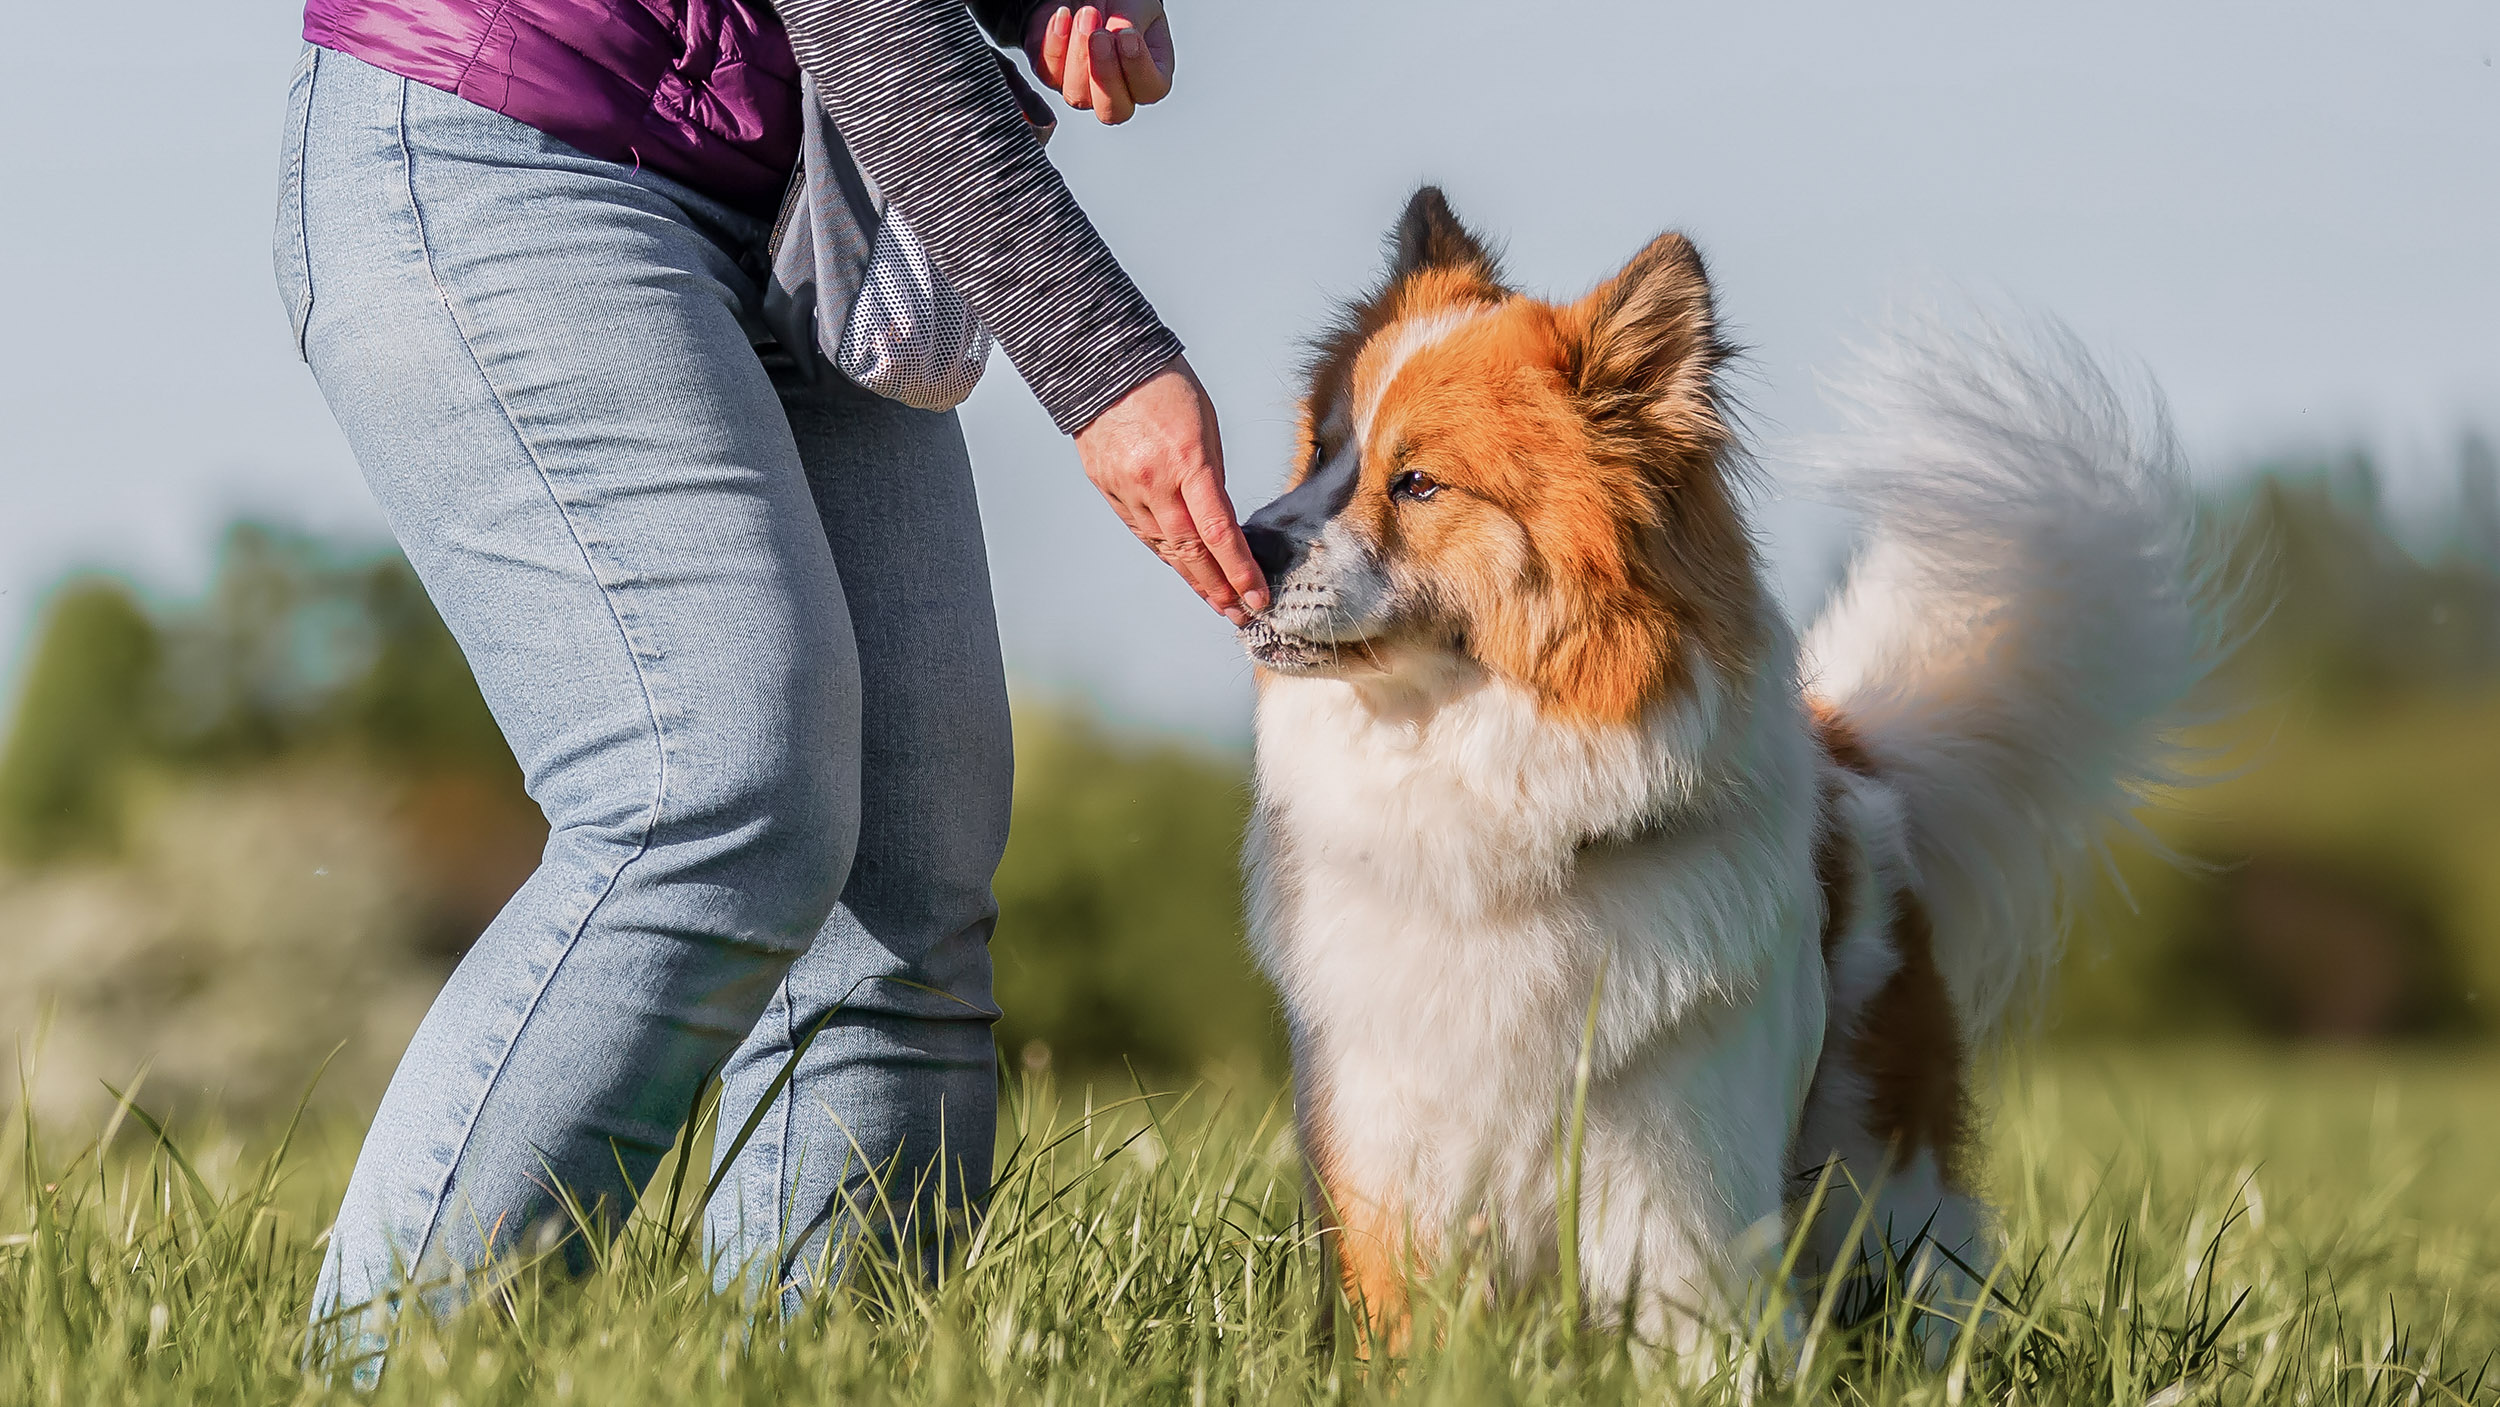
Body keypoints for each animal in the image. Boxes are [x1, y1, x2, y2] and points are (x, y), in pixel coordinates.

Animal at [1230, 187, 2210, 1349]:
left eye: (1417, 483)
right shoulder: (1393, 1180)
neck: (1486, 809)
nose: (1243, 539)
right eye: (1320, 456)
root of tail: (1847, 751)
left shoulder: (1677, 1201)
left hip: (1885, 1185)